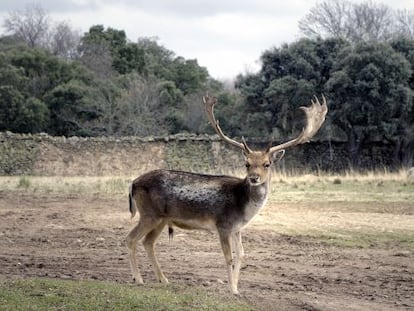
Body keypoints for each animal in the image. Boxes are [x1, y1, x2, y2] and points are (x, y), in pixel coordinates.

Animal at [126, 94, 326, 296]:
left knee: (148, 242)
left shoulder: (237, 228)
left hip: (161, 218)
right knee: (131, 238)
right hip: (149, 214)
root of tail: (133, 183)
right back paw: (139, 279)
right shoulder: (223, 225)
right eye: (247, 164)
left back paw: (163, 279)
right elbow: (228, 257)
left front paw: (237, 287)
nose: (254, 178)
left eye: (267, 164)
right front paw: (232, 289)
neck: (244, 207)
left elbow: (241, 254)